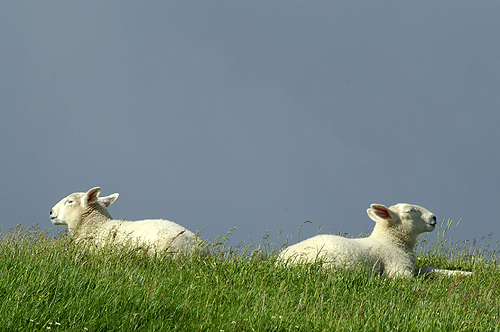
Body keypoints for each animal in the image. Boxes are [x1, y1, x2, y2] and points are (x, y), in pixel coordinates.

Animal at [278, 202, 472, 278]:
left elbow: (428, 268)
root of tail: (281, 261)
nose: (434, 218)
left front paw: (464, 273)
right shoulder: (398, 269)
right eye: (410, 211)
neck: (391, 241)